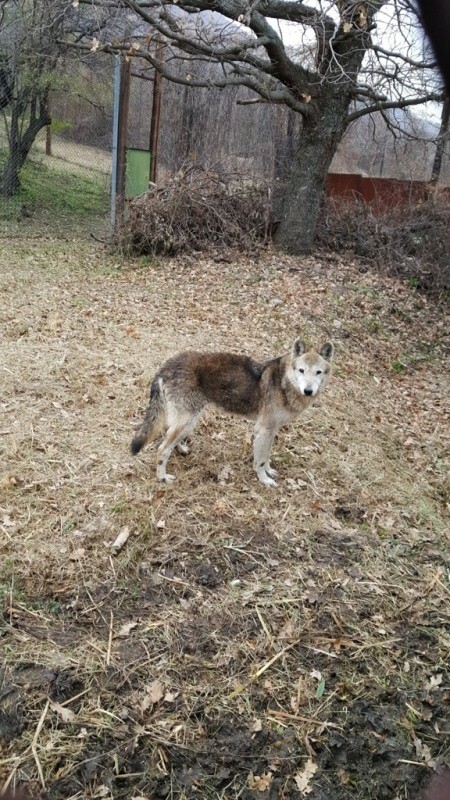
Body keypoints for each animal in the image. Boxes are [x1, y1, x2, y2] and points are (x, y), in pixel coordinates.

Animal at [130, 340, 334, 488]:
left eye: (318, 372)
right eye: (301, 370)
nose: (308, 391)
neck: (283, 382)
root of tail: (165, 366)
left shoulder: (272, 430)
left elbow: (266, 455)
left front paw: (269, 471)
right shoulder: (263, 430)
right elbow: (260, 461)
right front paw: (264, 480)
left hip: (189, 420)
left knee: (168, 436)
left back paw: (180, 449)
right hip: (188, 420)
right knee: (162, 448)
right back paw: (162, 478)